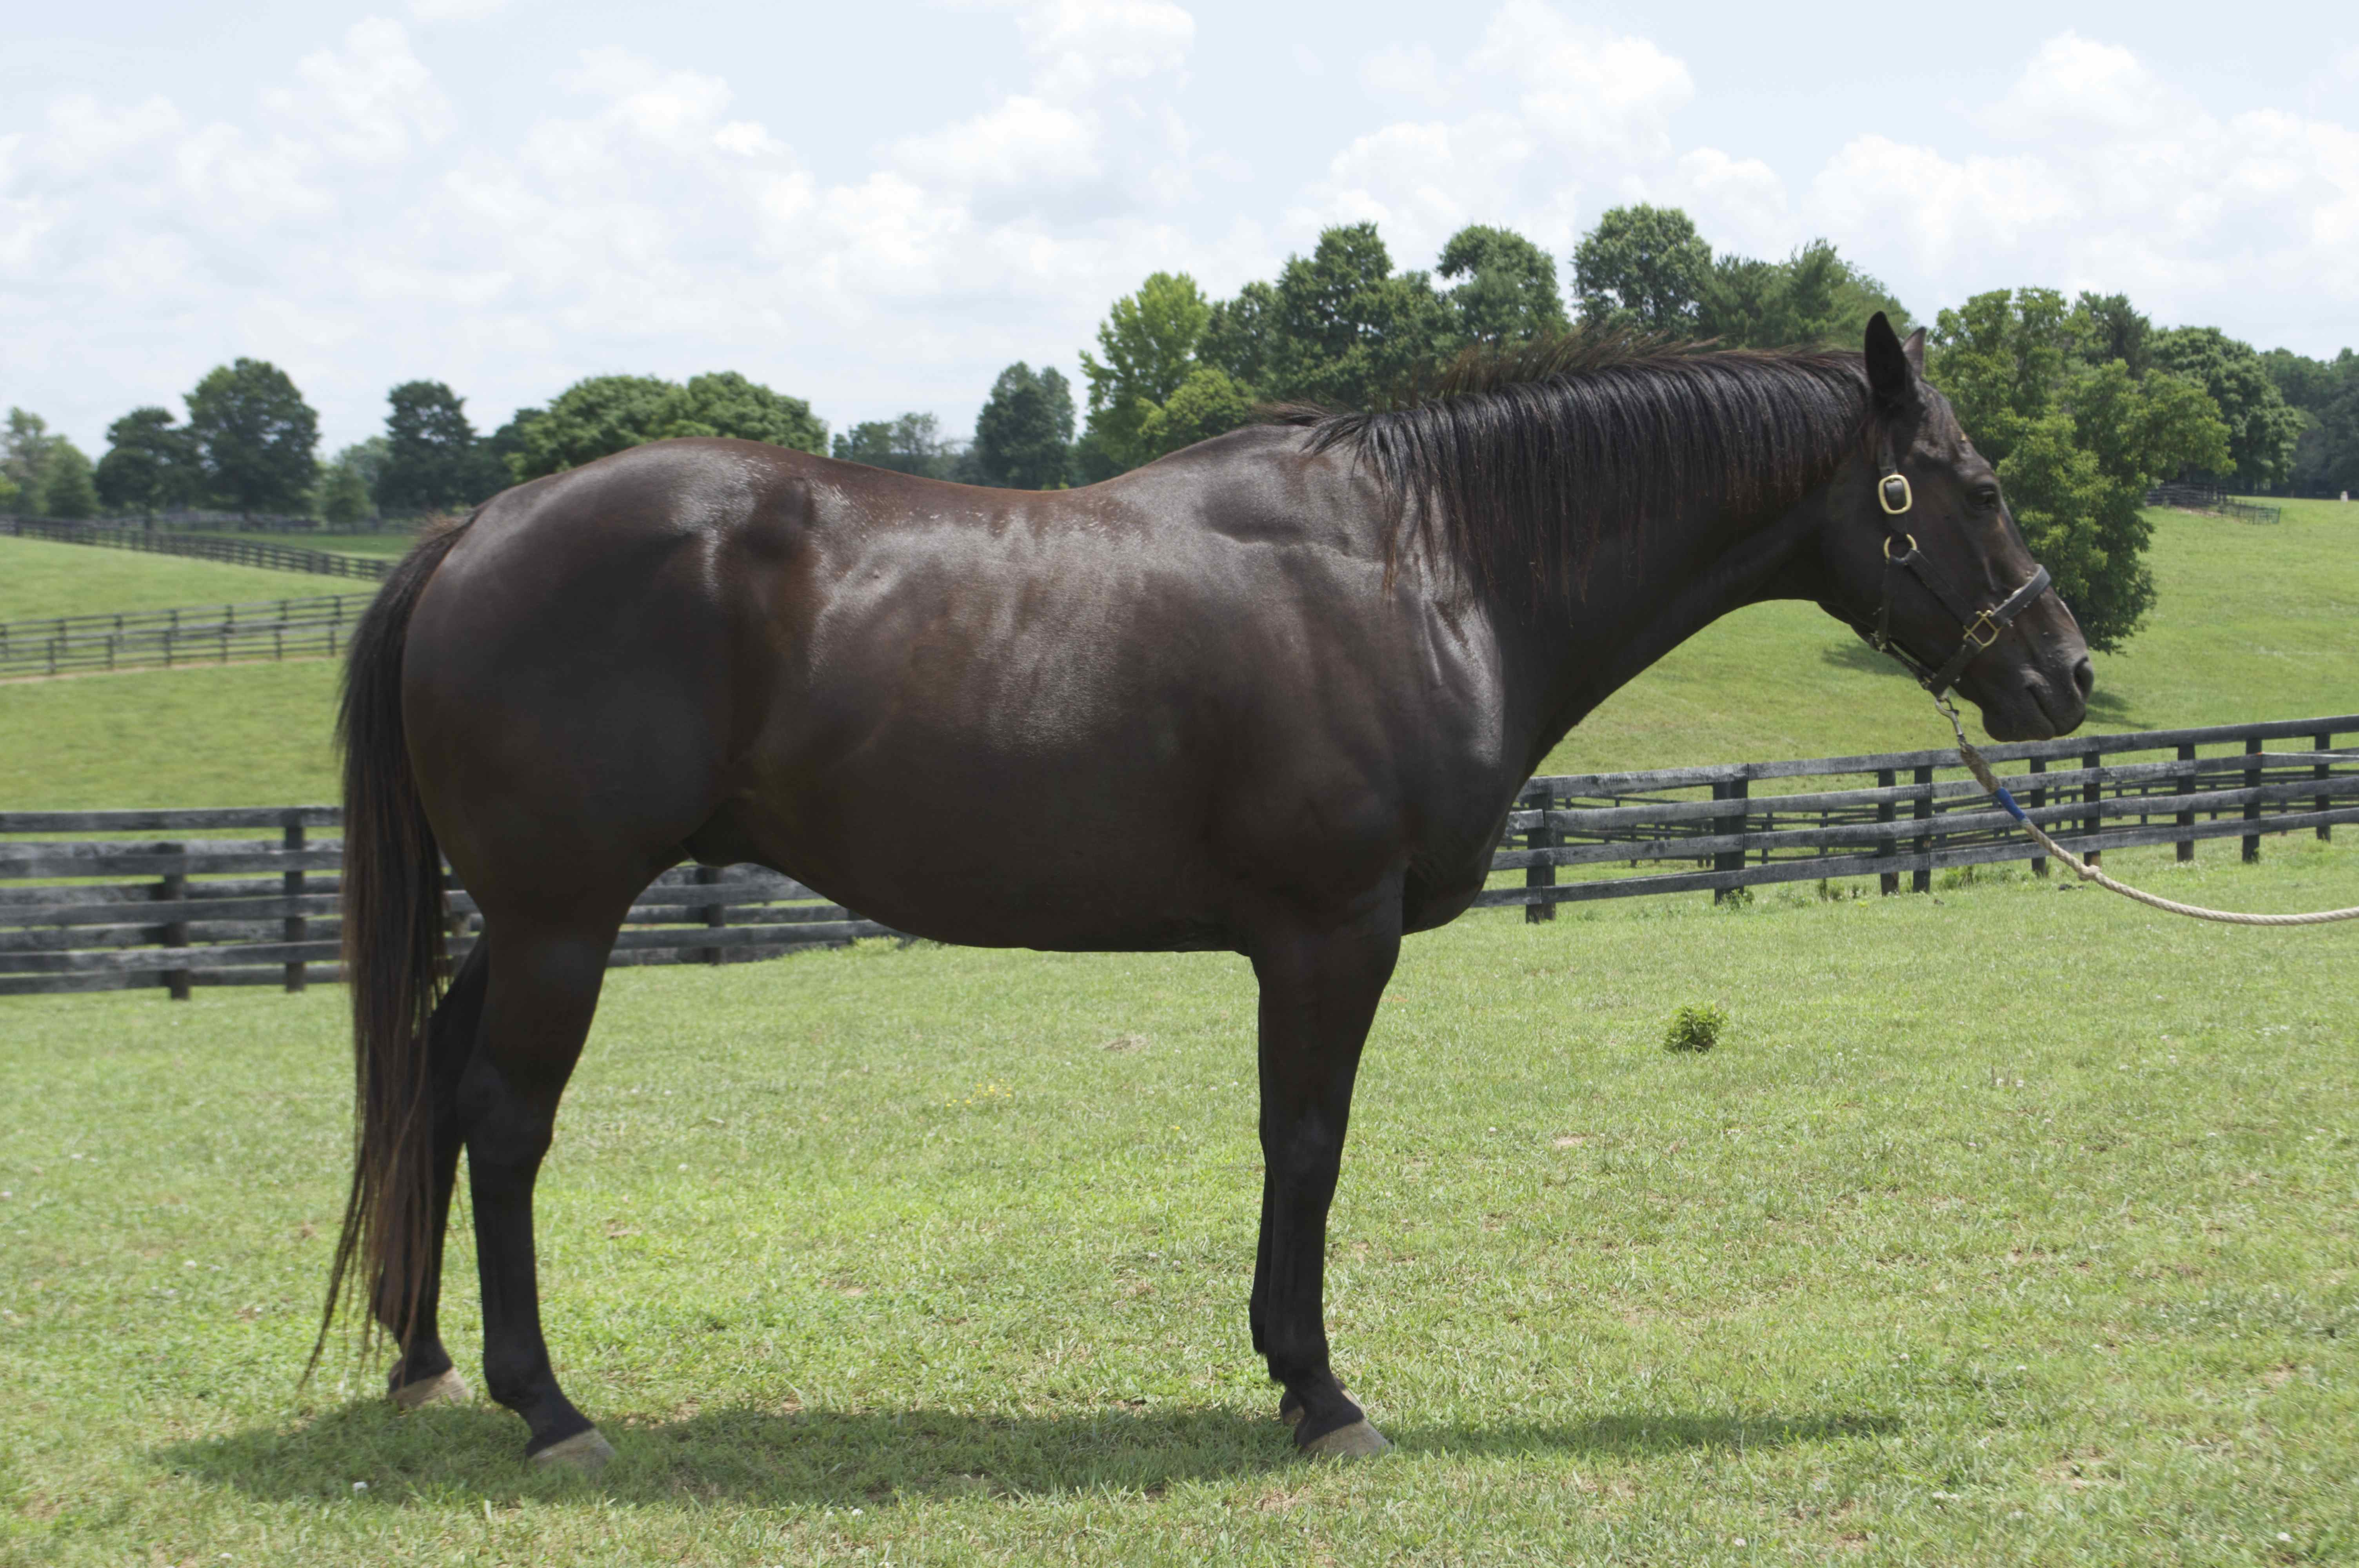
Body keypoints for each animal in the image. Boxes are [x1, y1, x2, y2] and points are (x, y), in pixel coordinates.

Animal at [322, 313, 2090, 1468]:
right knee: (502, 1120)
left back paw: (428, 1364)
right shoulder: (1326, 934)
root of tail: (477, 526)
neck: (1427, 565)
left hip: (523, 923)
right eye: (1975, 483)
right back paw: (549, 1410)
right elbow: (1305, 1144)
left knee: (431, 1088)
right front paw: (1318, 1394)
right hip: (564, 921)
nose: (2063, 674)